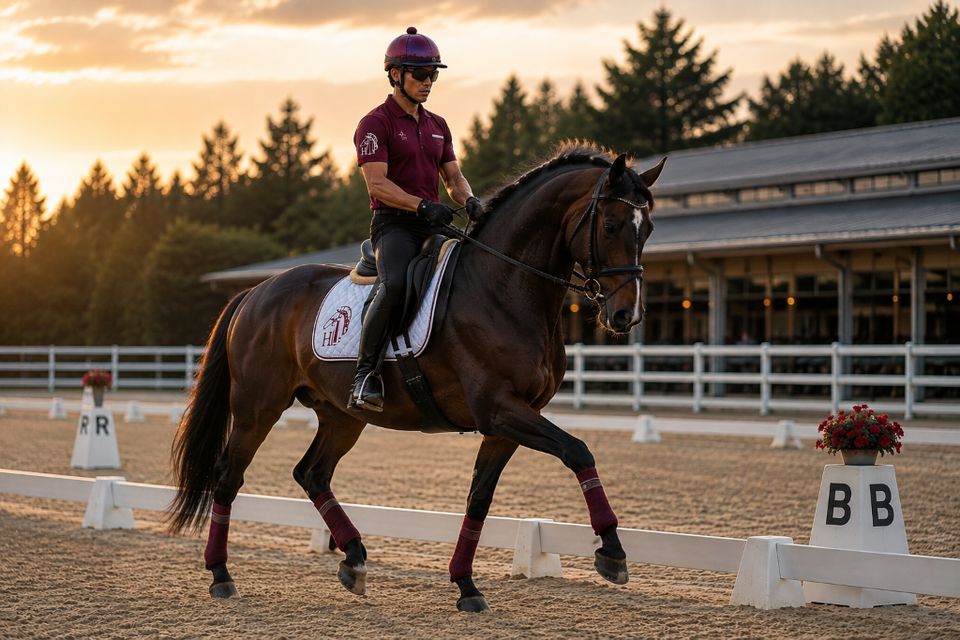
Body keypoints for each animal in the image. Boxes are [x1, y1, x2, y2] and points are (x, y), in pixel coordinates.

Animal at [167, 143, 665, 612]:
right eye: (611, 225)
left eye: (648, 229)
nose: (627, 315)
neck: (504, 287)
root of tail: (256, 292)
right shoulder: (499, 409)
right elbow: (577, 451)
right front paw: (612, 552)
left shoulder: (507, 422)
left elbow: (479, 498)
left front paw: (466, 585)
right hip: (258, 408)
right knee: (228, 477)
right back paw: (221, 575)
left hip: (342, 415)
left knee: (312, 474)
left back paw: (354, 559)